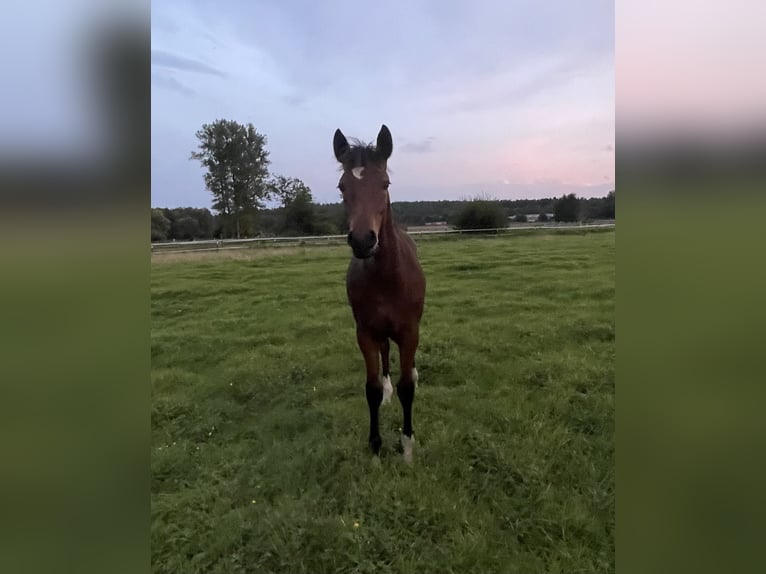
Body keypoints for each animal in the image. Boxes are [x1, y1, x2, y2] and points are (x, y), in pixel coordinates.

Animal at [332, 125, 428, 464]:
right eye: (342, 186)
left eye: (385, 183)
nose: (363, 240)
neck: (387, 279)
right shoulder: (365, 333)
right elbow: (371, 388)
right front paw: (375, 447)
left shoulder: (410, 331)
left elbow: (407, 388)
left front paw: (407, 446)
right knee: (386, 355)